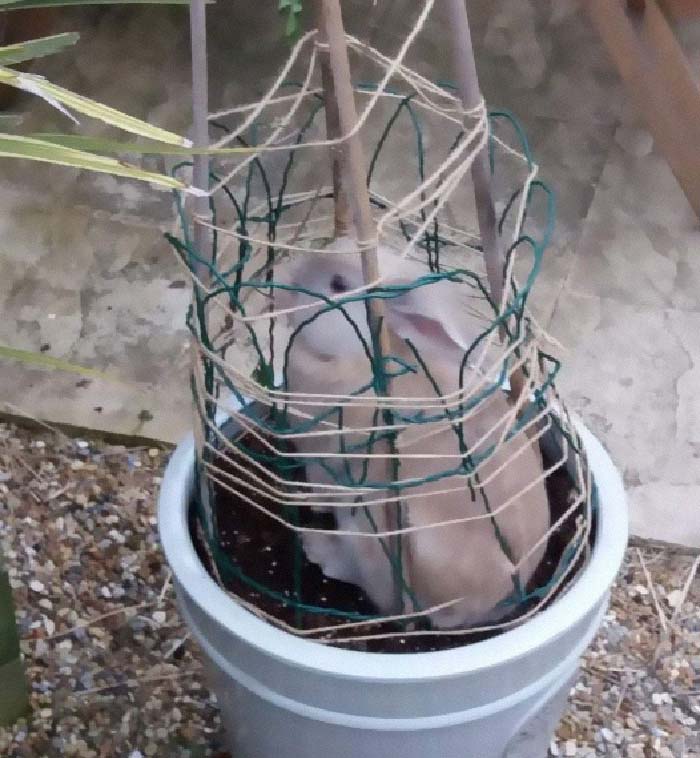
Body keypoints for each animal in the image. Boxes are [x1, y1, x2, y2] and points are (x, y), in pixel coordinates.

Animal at [276, 237, 550, 629]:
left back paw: (313, 543)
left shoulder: (324, 463)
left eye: (338, 284)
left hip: (379, 538)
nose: (281, 291)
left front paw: (307, 504)